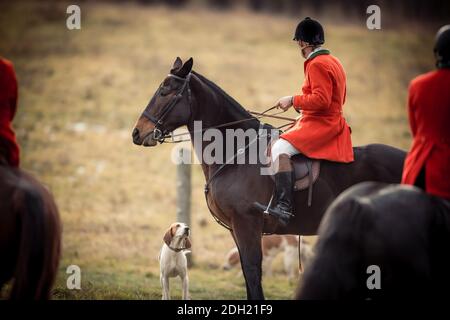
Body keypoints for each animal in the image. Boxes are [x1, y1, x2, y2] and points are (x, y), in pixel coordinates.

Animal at [132, 57, 406, 300]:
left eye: (165, 92)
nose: (137, 133)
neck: (237, 152)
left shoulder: (246, 223)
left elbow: (253, 272)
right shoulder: (237, 228)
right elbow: (247, 274)